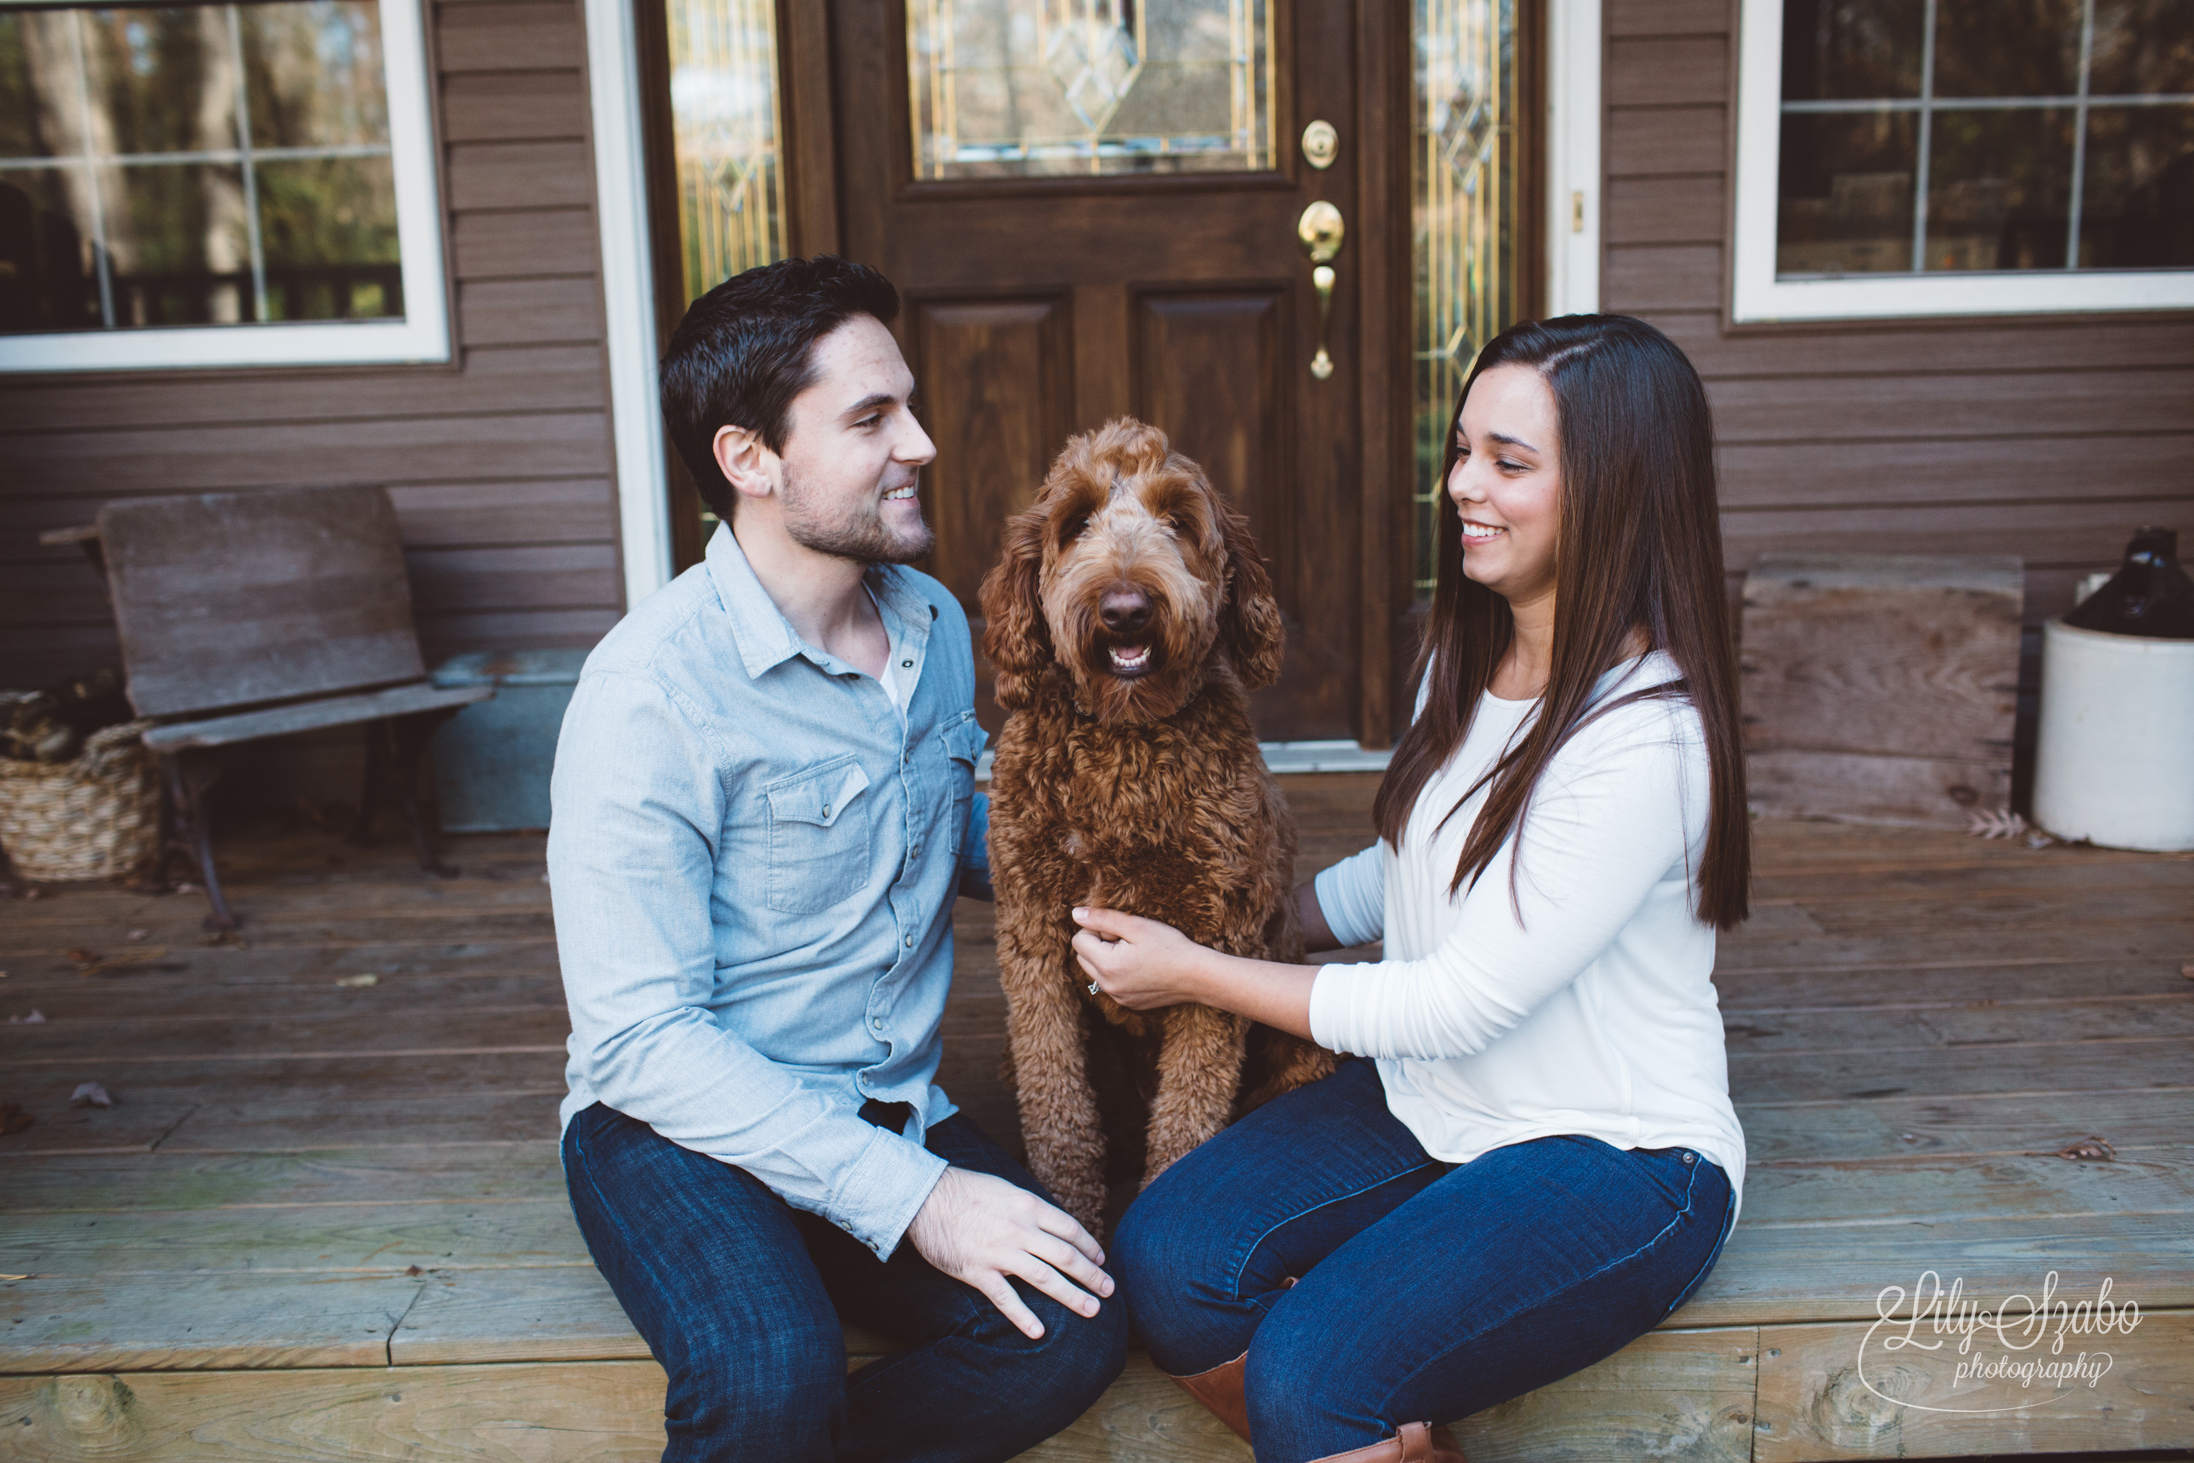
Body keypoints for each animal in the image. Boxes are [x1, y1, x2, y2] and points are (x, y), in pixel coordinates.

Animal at [982, 414, 1333, 1237]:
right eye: (1076, 520)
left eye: (1178, 519)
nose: (1125, 609)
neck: (1123, 744)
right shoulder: (1031, 934)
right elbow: (1057, 1104)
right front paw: (1069, 1216)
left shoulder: (1216, 942)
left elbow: (1189, 1114)